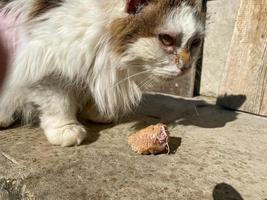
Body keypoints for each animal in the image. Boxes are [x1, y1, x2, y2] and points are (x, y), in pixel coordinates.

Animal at [0, 0, 205, 147]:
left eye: (195, 43)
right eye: (166, 39)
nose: (186, 67)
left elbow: (89, 88)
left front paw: (97, 112)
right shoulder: (45, 59)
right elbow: (58, 101)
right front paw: (66, 128)